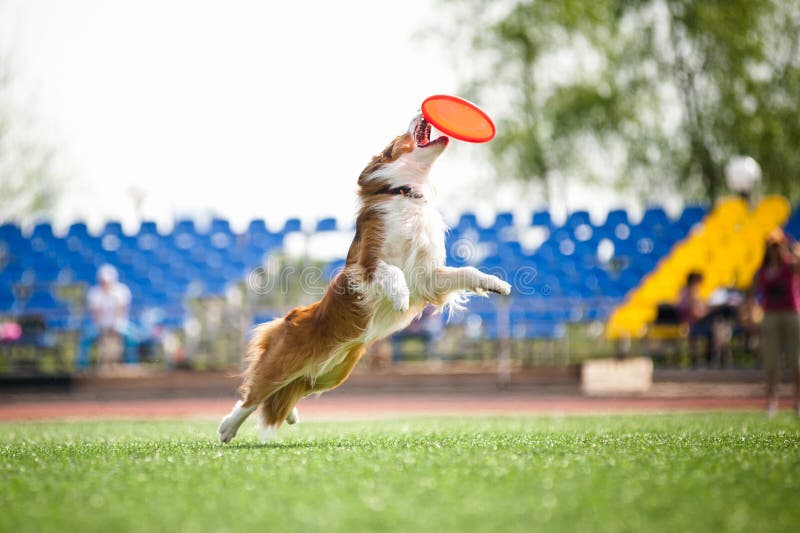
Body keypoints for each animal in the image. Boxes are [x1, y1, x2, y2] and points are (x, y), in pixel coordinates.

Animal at [216, 112, 510, 440]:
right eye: (399, 137)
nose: (419, 112)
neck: (405, 194)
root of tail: (289, 316)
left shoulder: (428, 277)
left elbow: (465, 271)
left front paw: (496, 284)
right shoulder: (367, 263)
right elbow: (391, 271)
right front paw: (399, 296)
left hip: (333, 373)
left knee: (290, 391)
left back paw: (289, 414)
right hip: (284, 361)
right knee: (255, 393)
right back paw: (228, 427)